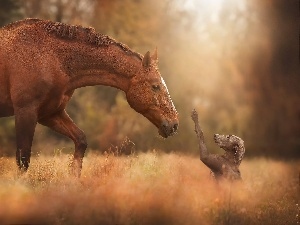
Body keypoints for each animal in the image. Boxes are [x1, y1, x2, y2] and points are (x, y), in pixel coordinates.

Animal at [0, 18, 178, 176]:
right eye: (155, 86)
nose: (174, 124)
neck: (51, 58)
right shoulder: (26, 111)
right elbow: (23, 159)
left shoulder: (49, 114)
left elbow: (81, 140)